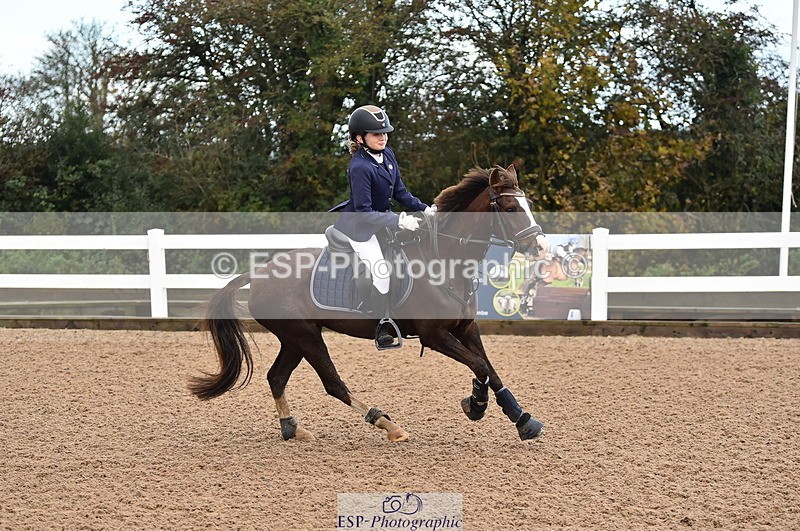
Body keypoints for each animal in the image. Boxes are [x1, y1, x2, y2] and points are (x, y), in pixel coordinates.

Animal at [189, 164, 548, 442]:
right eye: (511, 209)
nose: (541, 248)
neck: (445, 260)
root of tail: (259, 273)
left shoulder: (465, 328)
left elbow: (489, 368)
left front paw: (522, 420)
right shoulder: (435, 336)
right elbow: (479, 366)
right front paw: (475, 404)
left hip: (294, 338)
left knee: (277, 377)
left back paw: (292, 428)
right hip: (305, 336)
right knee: (333, 384)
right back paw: (387, 424)